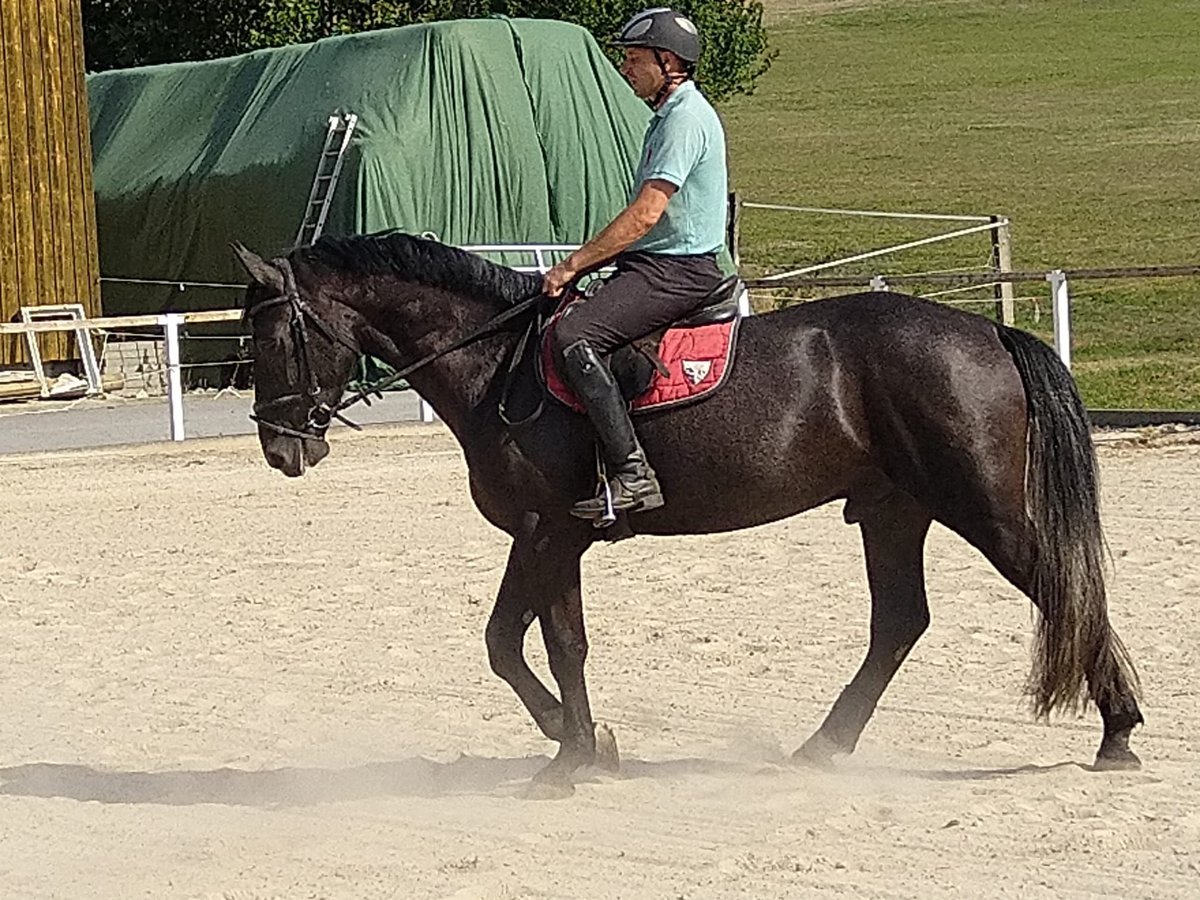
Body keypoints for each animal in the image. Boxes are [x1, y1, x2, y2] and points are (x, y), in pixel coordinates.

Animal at [234, 232, 1142, 796]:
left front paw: (570, 756)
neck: (497, 363)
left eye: (269, 338)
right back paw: (824, 746)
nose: (280, 447)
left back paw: (1119, 732)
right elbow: (522, 644)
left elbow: (542, 644)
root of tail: (985, 333)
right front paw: (583, 743)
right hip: (894, 512)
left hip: (981, 508)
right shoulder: (545, 537)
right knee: (899, 624)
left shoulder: (551, 532)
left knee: (1062, 589)